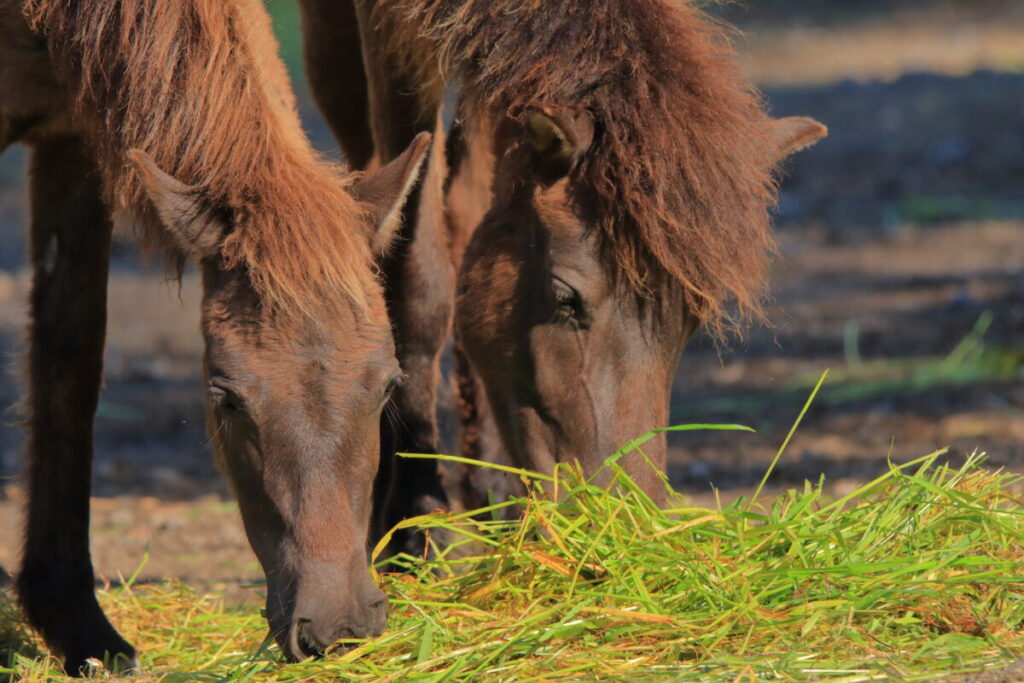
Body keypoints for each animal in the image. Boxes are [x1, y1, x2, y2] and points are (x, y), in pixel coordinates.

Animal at [1, 0, 429, 671]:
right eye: (226, 398)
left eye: (388, 386)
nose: (336, 627)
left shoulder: (73, 136)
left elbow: (69, 368)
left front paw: (81, 629)